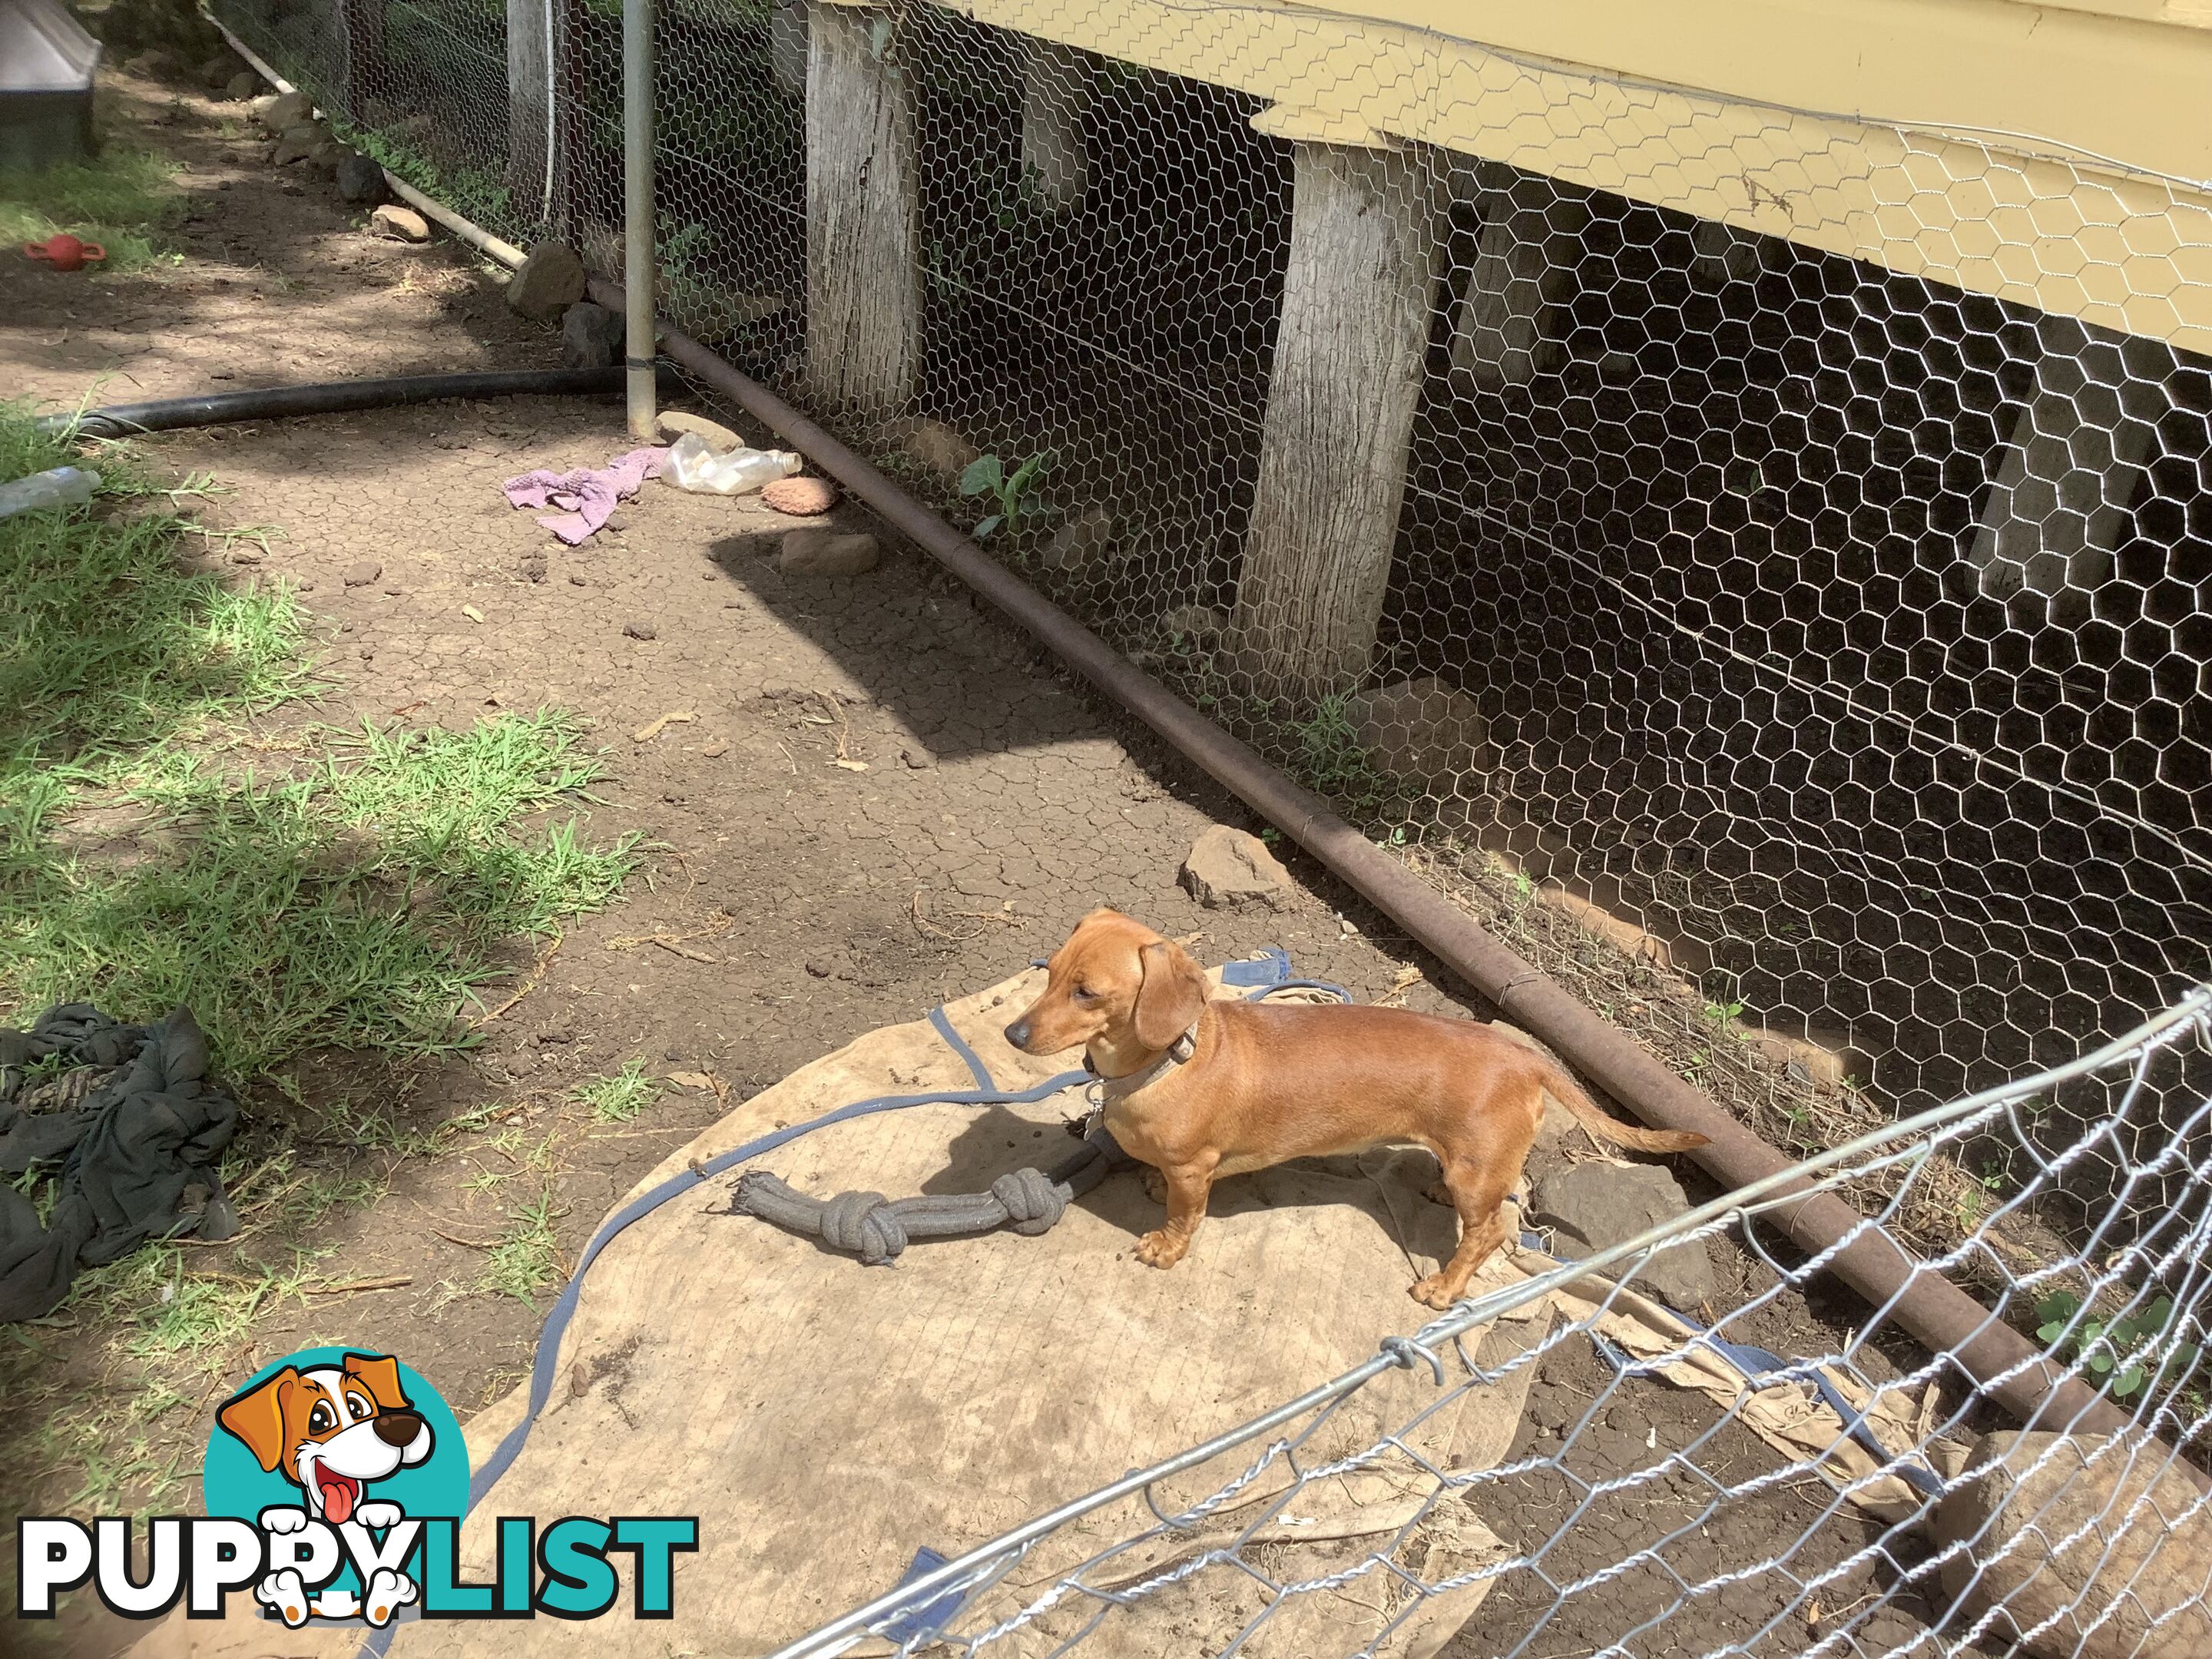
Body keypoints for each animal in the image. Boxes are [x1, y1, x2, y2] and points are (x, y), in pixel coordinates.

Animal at [1008, 911, 1707, 1309]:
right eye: (1049, 972)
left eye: (1087, 992)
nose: (1014, 1035)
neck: (1171, 1059)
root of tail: (1526, 1057)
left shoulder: (1194, 1169)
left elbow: (1185, 1217)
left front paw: (1166, 1248)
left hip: (1479, 1176)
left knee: (1489, 1234)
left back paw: (1444, 1288)